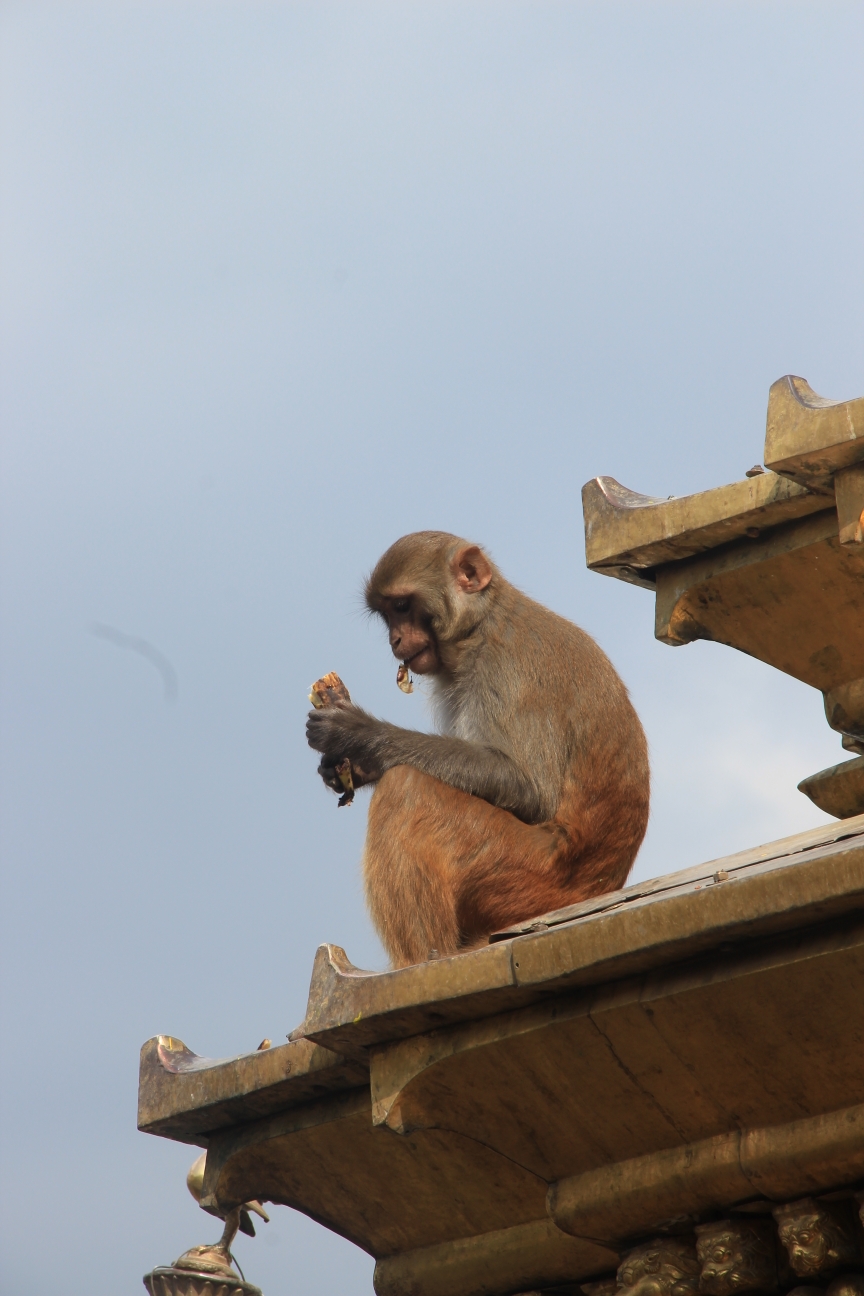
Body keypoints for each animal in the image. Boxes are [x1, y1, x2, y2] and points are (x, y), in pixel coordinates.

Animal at [304, 531, 647, 969]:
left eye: (402, 607)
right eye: (387, 615)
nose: (394, 640)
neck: (480, 625)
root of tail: (600, 889)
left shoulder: (507, 668)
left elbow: (527, 787)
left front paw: (357, 733)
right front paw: (348, 767)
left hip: (528, 876)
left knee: (408, 790)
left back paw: (422, 962)